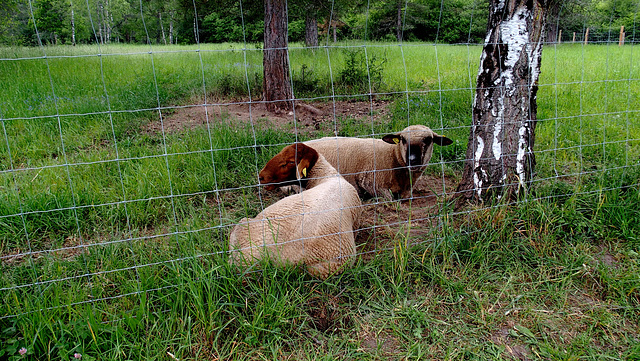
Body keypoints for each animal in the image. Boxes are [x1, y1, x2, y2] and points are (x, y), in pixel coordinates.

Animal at [306, 124, 452, 200]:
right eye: (403, 139)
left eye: (429, 140)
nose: (413, 160)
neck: (393, 155)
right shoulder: (372, 182)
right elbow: (390, 199)